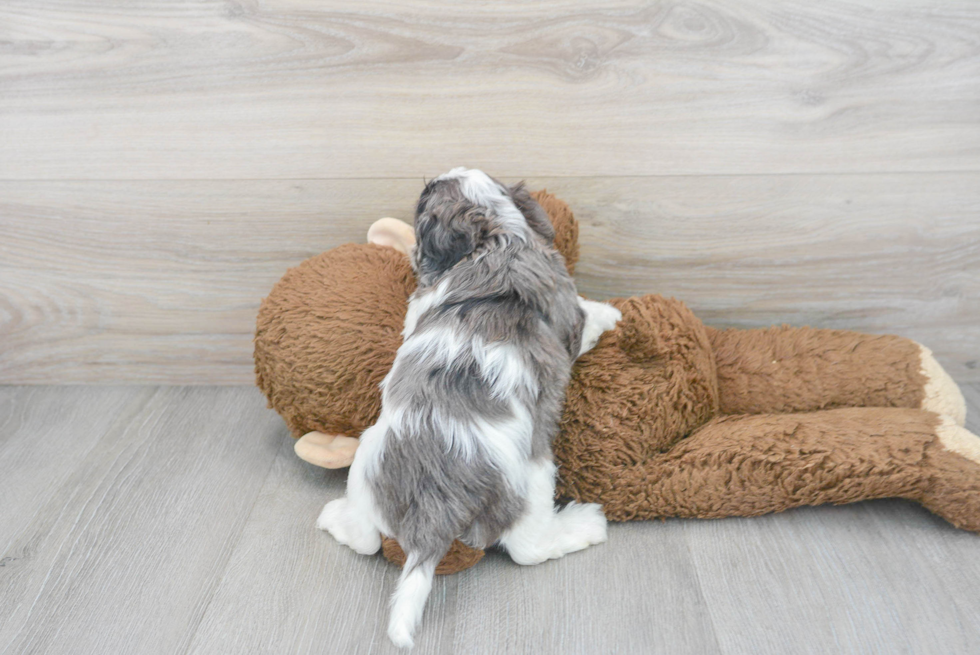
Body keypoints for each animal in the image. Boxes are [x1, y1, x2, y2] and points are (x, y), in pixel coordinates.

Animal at [320, 167, 620, 648]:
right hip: (534, 473)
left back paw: (335, 518)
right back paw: (584, 524)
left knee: (366, 536)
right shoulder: (566, 306)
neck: (497, 236)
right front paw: (609, 313)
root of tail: (435, 506)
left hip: (367, 458)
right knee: (528, 548)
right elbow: (586, 318)